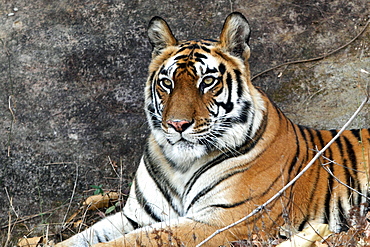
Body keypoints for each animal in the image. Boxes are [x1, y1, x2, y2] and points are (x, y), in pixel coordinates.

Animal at [55, 12, 370, 247]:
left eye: (207, 81)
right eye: (167, 83)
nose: (177, 124)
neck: (179, 165)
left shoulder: (221, 220)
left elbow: (136, 240)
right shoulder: (137, 215)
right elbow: (83, 237)